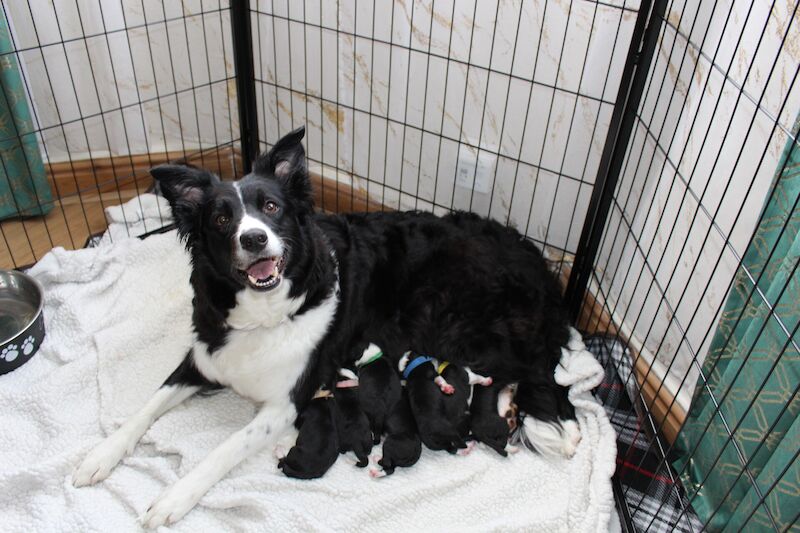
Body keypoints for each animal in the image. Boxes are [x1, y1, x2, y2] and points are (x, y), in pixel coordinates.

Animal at [72, 125, 580, 528]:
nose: (253, 239)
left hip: (462, 329)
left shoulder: (286, 401)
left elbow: (224, 448)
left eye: (271, 207)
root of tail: (542, 267)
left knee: (546, 379)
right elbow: (144, 408)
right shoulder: (204, 356)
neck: (266, 309)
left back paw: (565, 429)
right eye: (220, 218)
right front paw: (97, 457)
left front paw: (173, 498)